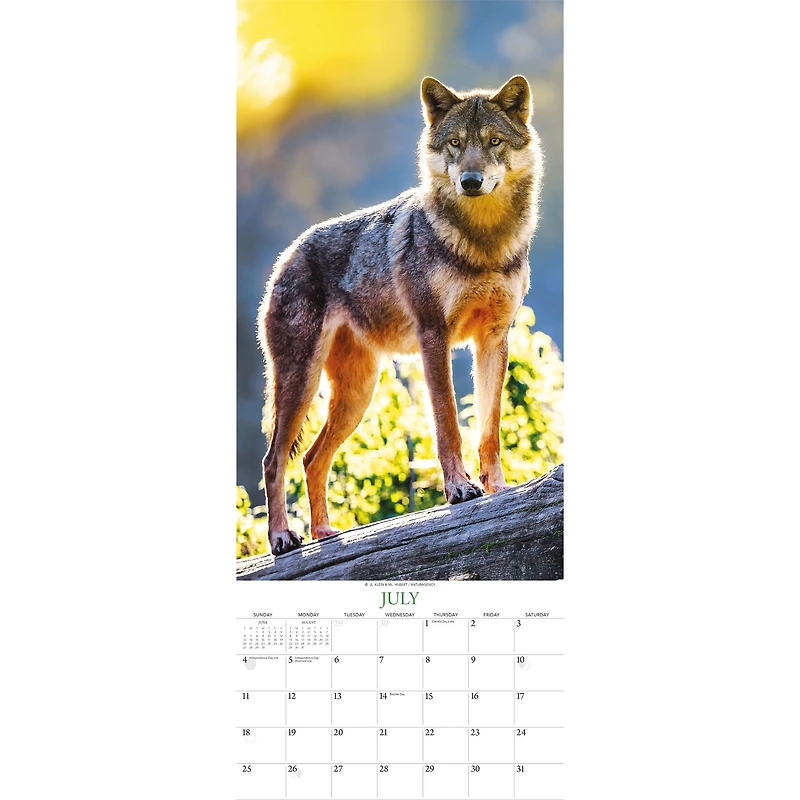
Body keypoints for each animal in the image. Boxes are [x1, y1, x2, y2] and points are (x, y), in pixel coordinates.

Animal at [257, 75, 543, 555]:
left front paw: (500, 490)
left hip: (356, 395)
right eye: (455, 143)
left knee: (313, 458)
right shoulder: (434, 336)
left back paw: (324, 534)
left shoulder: (493, 339)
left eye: (494, 142)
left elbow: (490, 429)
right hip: (301, 383)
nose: (470, 181)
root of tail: (286, 255)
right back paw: (282, 537)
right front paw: (460, 490)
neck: (482, 243)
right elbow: (448, 422)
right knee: (273, 459)